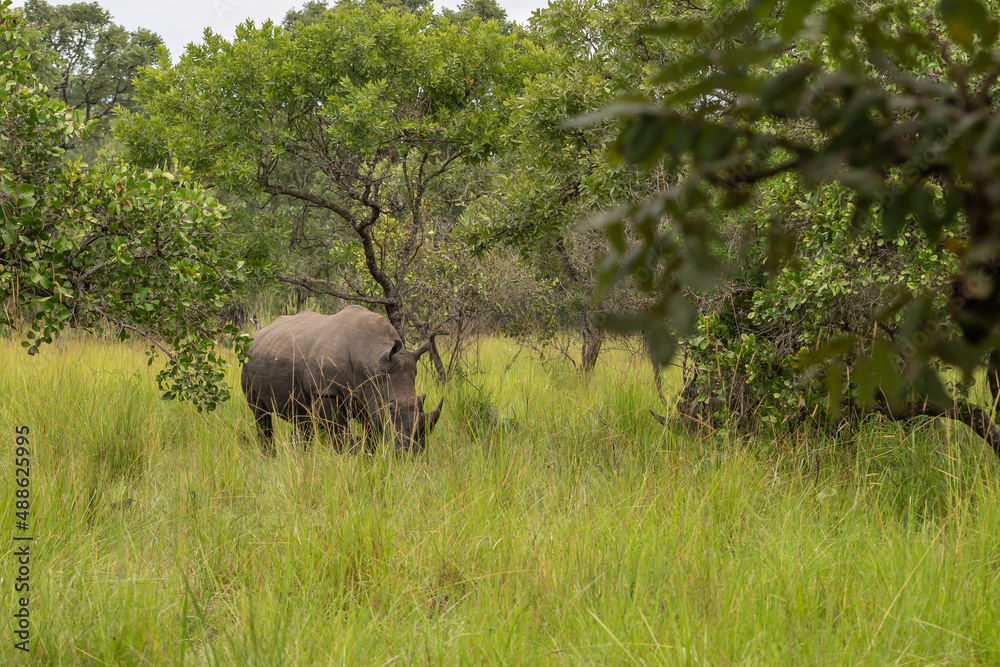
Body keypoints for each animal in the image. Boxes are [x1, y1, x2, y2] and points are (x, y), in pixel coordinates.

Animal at [240, 306, 443, 454]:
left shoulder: (367, 393)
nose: (413, 450)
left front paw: (369, 459)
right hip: (247, 362)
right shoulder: (326, 392)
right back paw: (270, 457)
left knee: (301, 418)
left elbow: (371, 435)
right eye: (390, 408)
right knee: (260, 414)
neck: (372, 356)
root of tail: (256, 335)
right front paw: (347, 459)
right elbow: (339, 433)